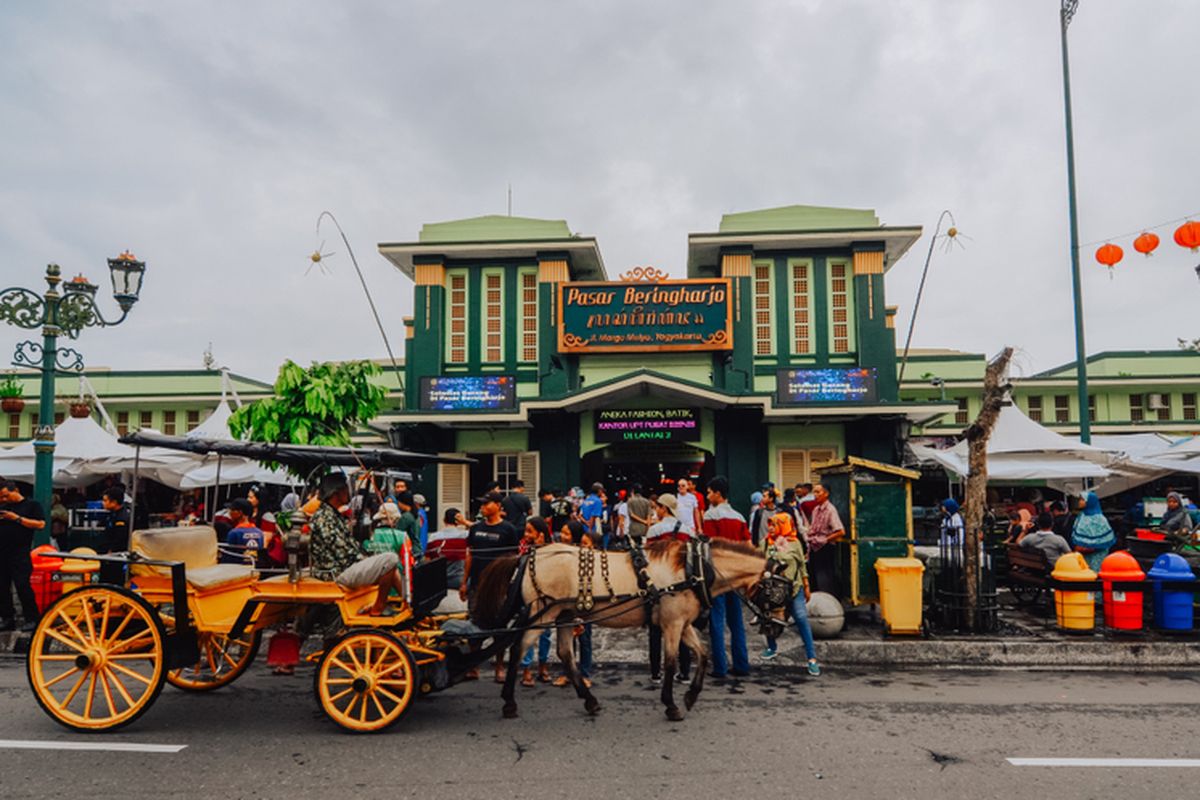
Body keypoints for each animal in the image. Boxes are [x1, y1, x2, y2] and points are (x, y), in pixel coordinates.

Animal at [470, 542, 768, 724]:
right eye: (776, 585)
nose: (773, 625)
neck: (693, 568)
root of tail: (527, 555)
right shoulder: (671, 624)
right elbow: (671, 664)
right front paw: (671, 705)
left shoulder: (681, 623)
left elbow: (703, 653)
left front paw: (691, 696)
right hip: (542, 614)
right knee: (518, 648)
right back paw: (509, 702)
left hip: (564, 615)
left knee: (565, 653)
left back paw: (590, 701)